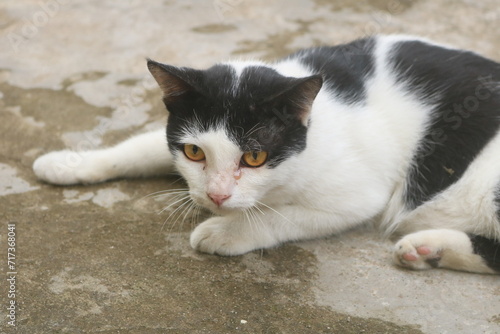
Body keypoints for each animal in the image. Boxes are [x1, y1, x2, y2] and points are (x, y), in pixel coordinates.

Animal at [33, 34, 500, 274]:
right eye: (194, 152)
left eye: (254, 158)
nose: (216, 196)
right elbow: (141, 145)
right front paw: (70, 162)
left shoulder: (357, 196)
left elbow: (280, 216)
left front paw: (227, 231)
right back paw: (428, 249)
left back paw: (430, 246)